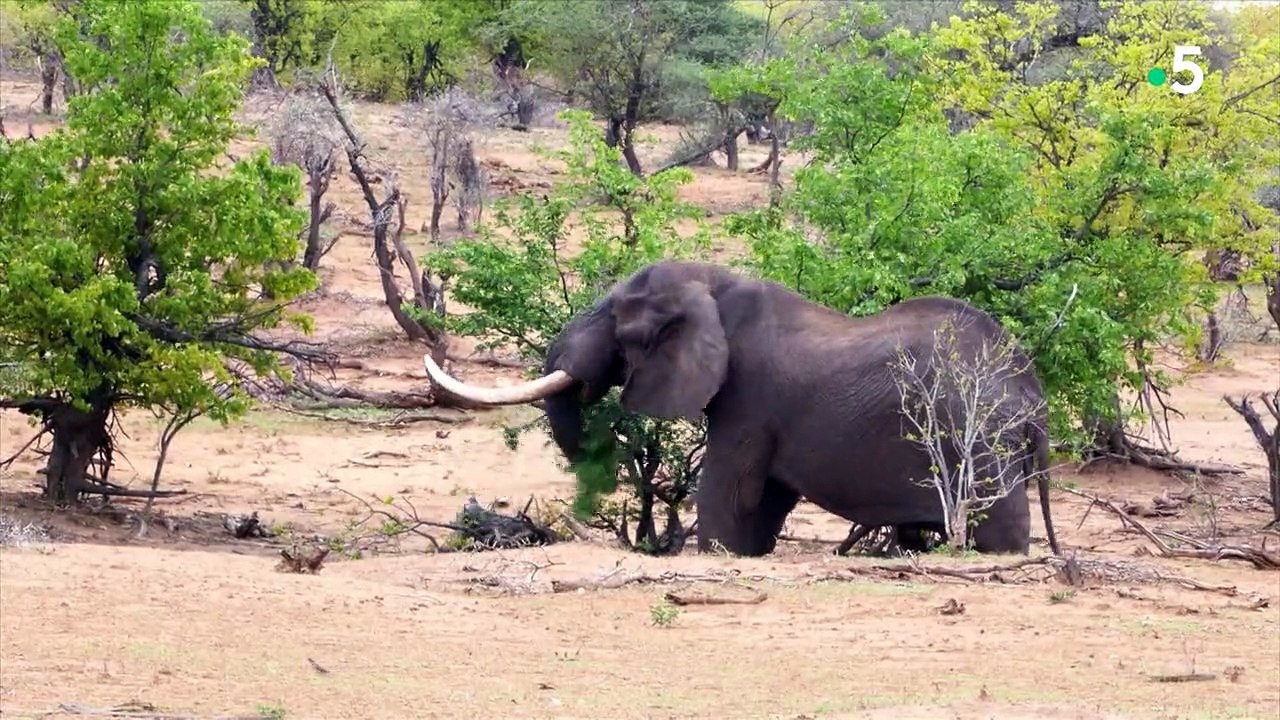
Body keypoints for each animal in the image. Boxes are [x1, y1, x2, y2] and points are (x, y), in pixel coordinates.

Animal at [424, 260, 1061, 557]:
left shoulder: (749, 398)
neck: (714, 284)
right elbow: (763, 503)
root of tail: (1034, 399)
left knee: (999, 523)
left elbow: (729, 494)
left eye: (621, 325)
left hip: (983, 442)